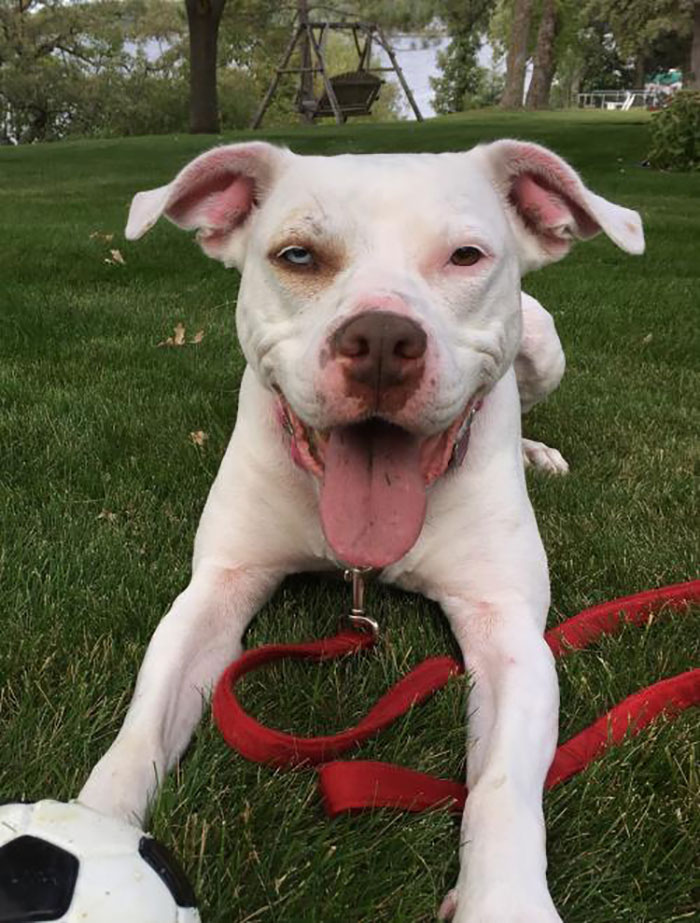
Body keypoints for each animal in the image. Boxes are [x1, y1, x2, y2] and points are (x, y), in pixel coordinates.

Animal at [79, 139, 644, 923]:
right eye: (297, 255)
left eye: (466, 255)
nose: (380, 337)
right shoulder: (215, 590)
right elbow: (141, 727)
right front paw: (89, 828)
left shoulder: (509, 633)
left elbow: (503, 789)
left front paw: (505, 904)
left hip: (544, 343)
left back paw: (537, 452)